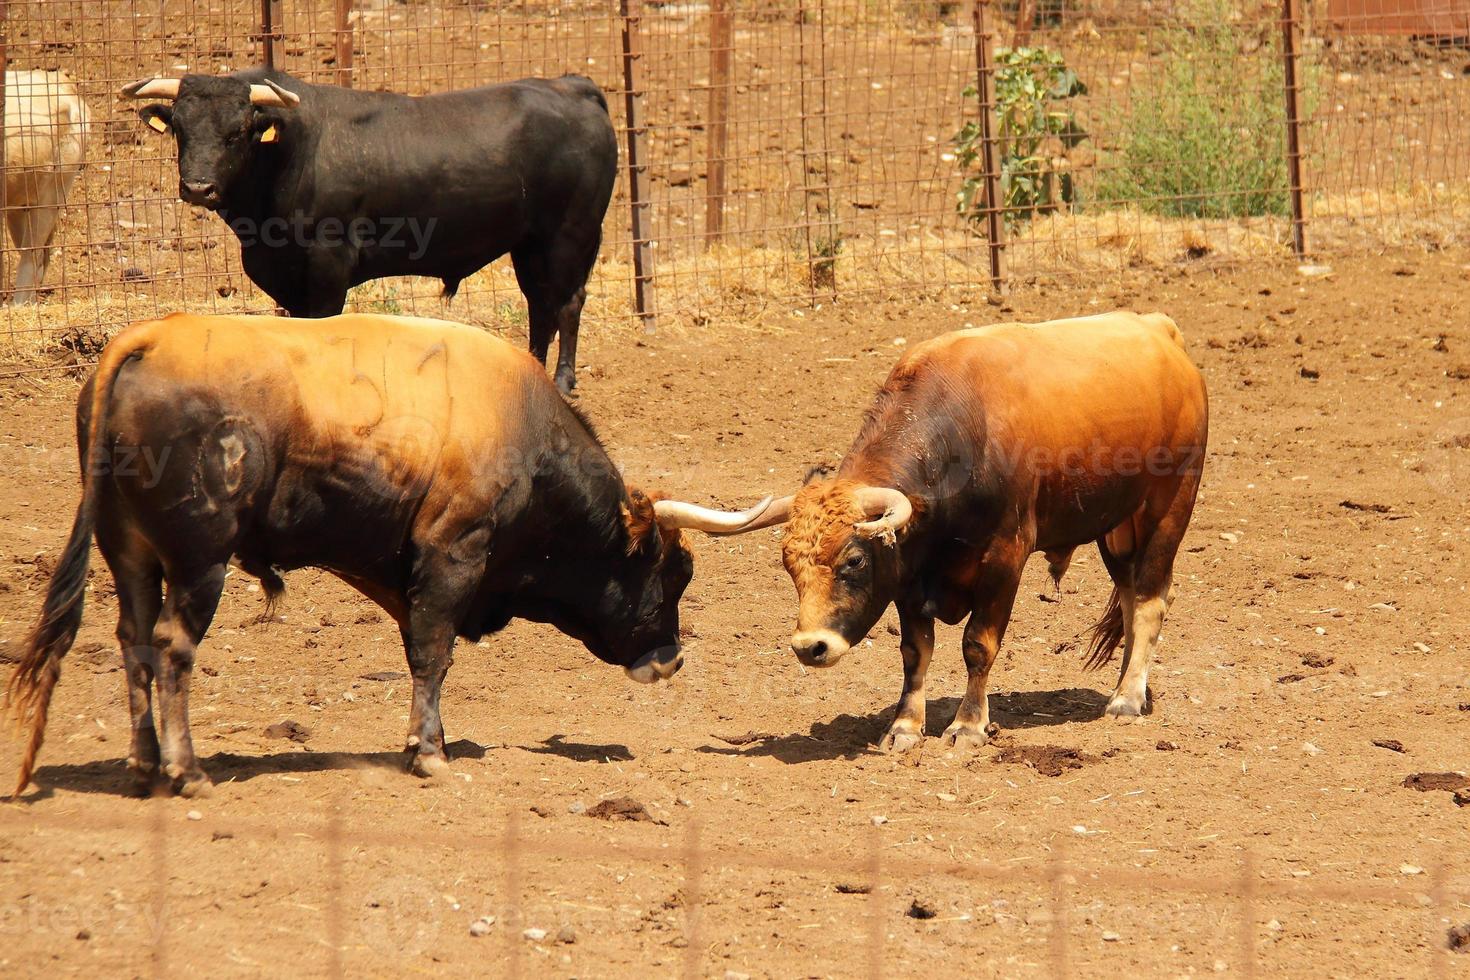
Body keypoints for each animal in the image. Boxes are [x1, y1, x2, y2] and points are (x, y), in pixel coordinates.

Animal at [119, 69, 614, 393]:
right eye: (179, 128)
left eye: (238, 131)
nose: (197, 188)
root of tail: (573, 85)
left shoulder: (328, 263)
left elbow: (322, 324)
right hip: (529, 245)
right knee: (540, 305)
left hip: (570, 234)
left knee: (568, 302)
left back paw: (563, 380)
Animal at [687, 312, 1205, 752]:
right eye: (788, 565)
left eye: (854, 559)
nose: (810, 647)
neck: (965, 432)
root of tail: (1161, 331)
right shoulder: (909, 573)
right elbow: (915, 652)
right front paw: (903, 727)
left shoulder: (1004, 559)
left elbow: (978, 644)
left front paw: (968, 724)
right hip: (1117, 530)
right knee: (1131, 601)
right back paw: (1132, 687)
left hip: (1166, 511)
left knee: (1151, 602)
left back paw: (1127, 698)